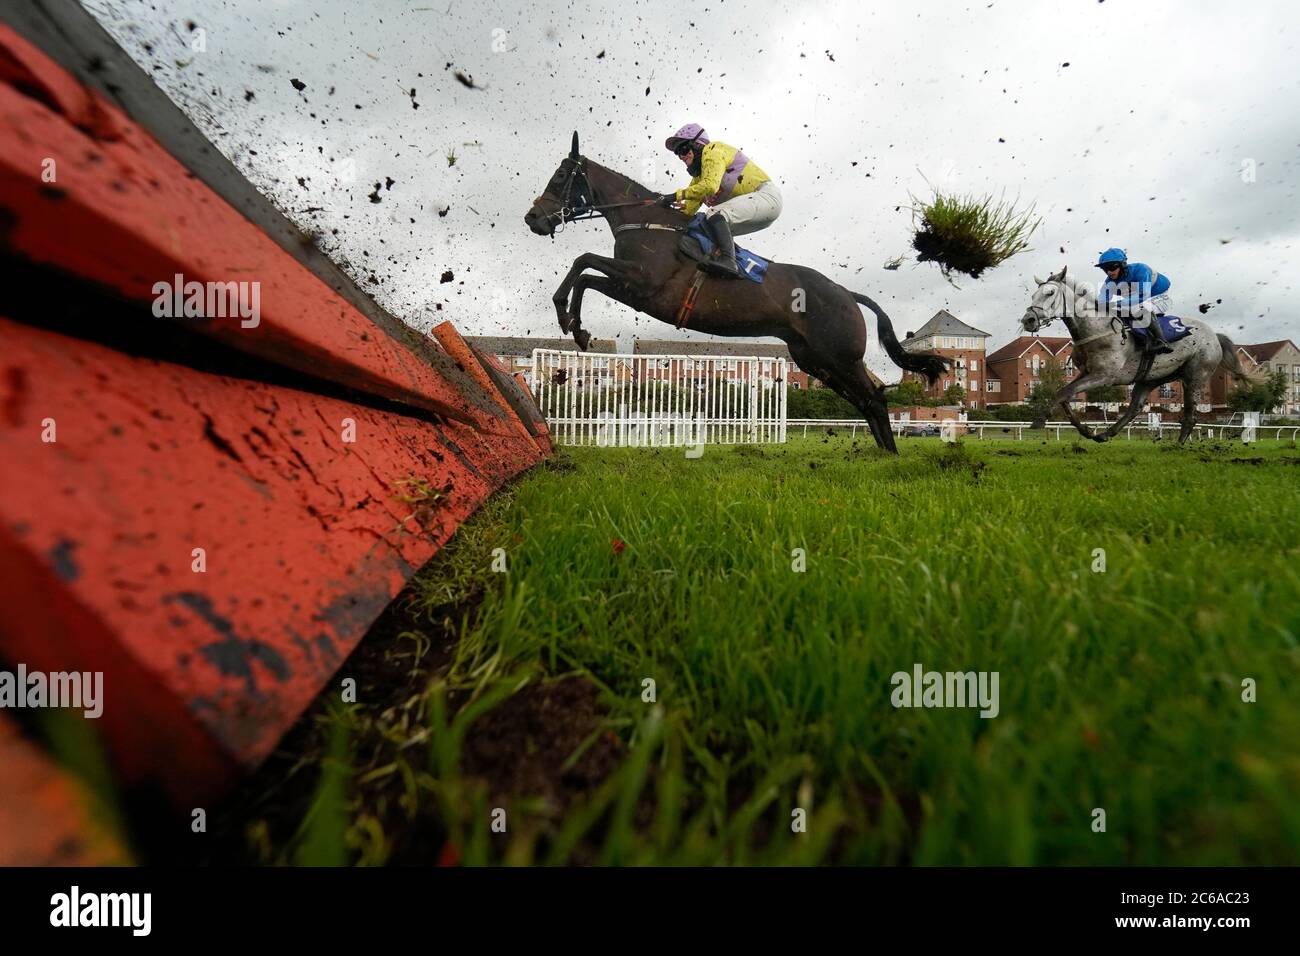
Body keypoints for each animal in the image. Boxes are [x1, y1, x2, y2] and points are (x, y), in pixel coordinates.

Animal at [520, 132, 946, 455]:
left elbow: (583, 265)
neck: (647, 223)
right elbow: (585, 269)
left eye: (561, 177)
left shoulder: (643, 285)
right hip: (815, 360)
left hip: (840, 355)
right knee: (865, 398)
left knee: (874, 397)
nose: (532, 218)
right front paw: (576, 325)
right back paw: (882, 452)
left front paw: (570, 320)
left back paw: (889, 456)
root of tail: (846, 293)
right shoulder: (633, 285)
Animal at [1013, 267, 1248, 442]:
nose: (1028, 320)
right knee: (1134, 408)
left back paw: (1178, 445)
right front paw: (1086, 430)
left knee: (1190, 415)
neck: (1097, 328)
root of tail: (1214, 335)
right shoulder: (1086, 373)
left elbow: (1063, 393)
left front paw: (1039, 421)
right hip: (1151, 378)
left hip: (1196, 375)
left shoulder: (1104, 376)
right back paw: (1105, 434)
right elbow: (1065, 395)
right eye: (1033, 295)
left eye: (1050, 294)